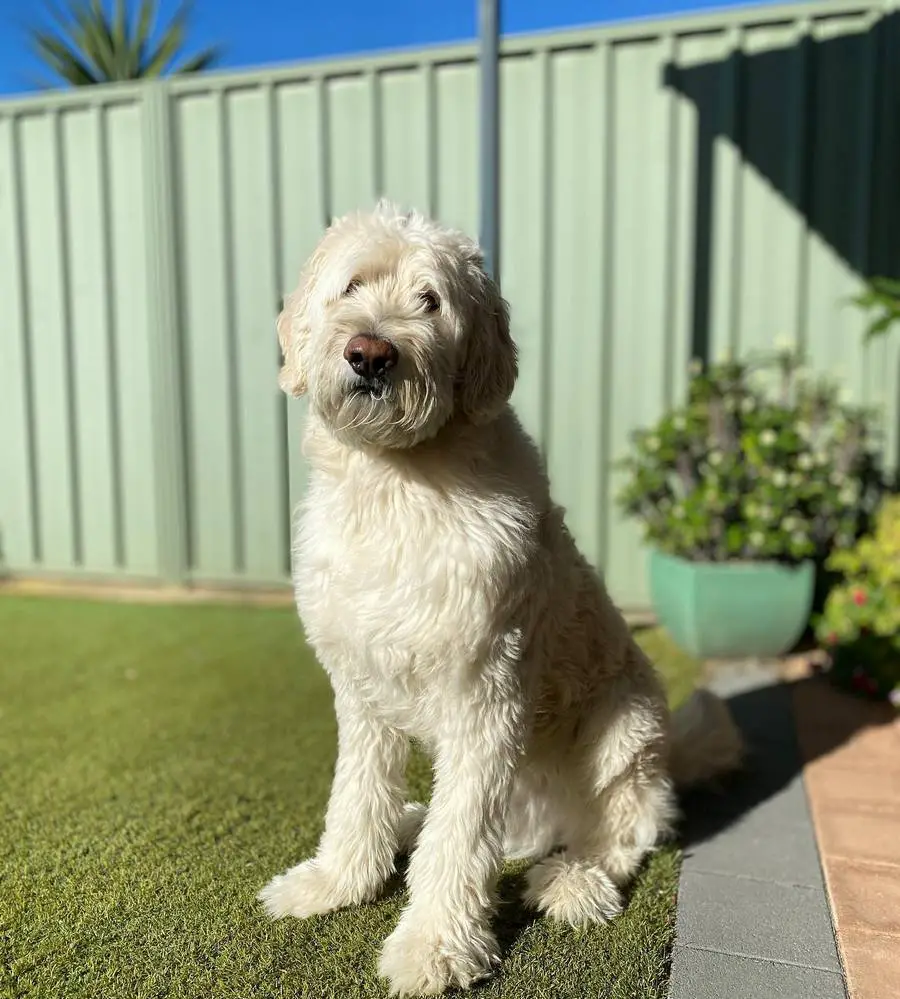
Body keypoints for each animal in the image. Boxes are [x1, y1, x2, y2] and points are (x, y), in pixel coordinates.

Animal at [256, 201, 740, 992]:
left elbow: (459, 840)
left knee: (625, 832)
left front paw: (433, 948)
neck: (397, 486)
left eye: (430, 300)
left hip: (624, 729)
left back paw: (572, 881)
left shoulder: (486, 691)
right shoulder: (360, 683)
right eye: (352, 286)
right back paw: (412, 823)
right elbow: (357, 793)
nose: (370, 353)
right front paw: (336, 882)